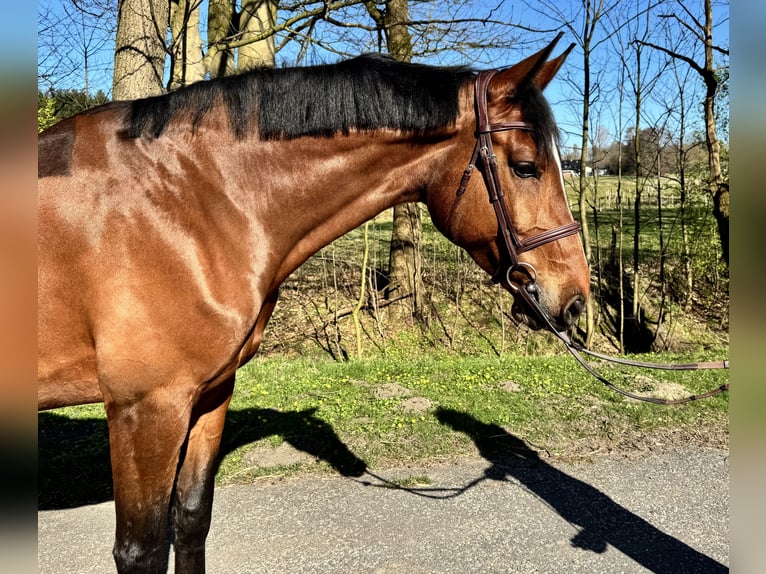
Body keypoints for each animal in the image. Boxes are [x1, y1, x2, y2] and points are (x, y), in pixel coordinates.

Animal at [38, 34, 590, 573]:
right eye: (526, 168)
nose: (576, 300)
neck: (189, 202)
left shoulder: (209, 395)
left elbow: (192, 519)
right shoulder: (146, 409)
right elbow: (142, 550)